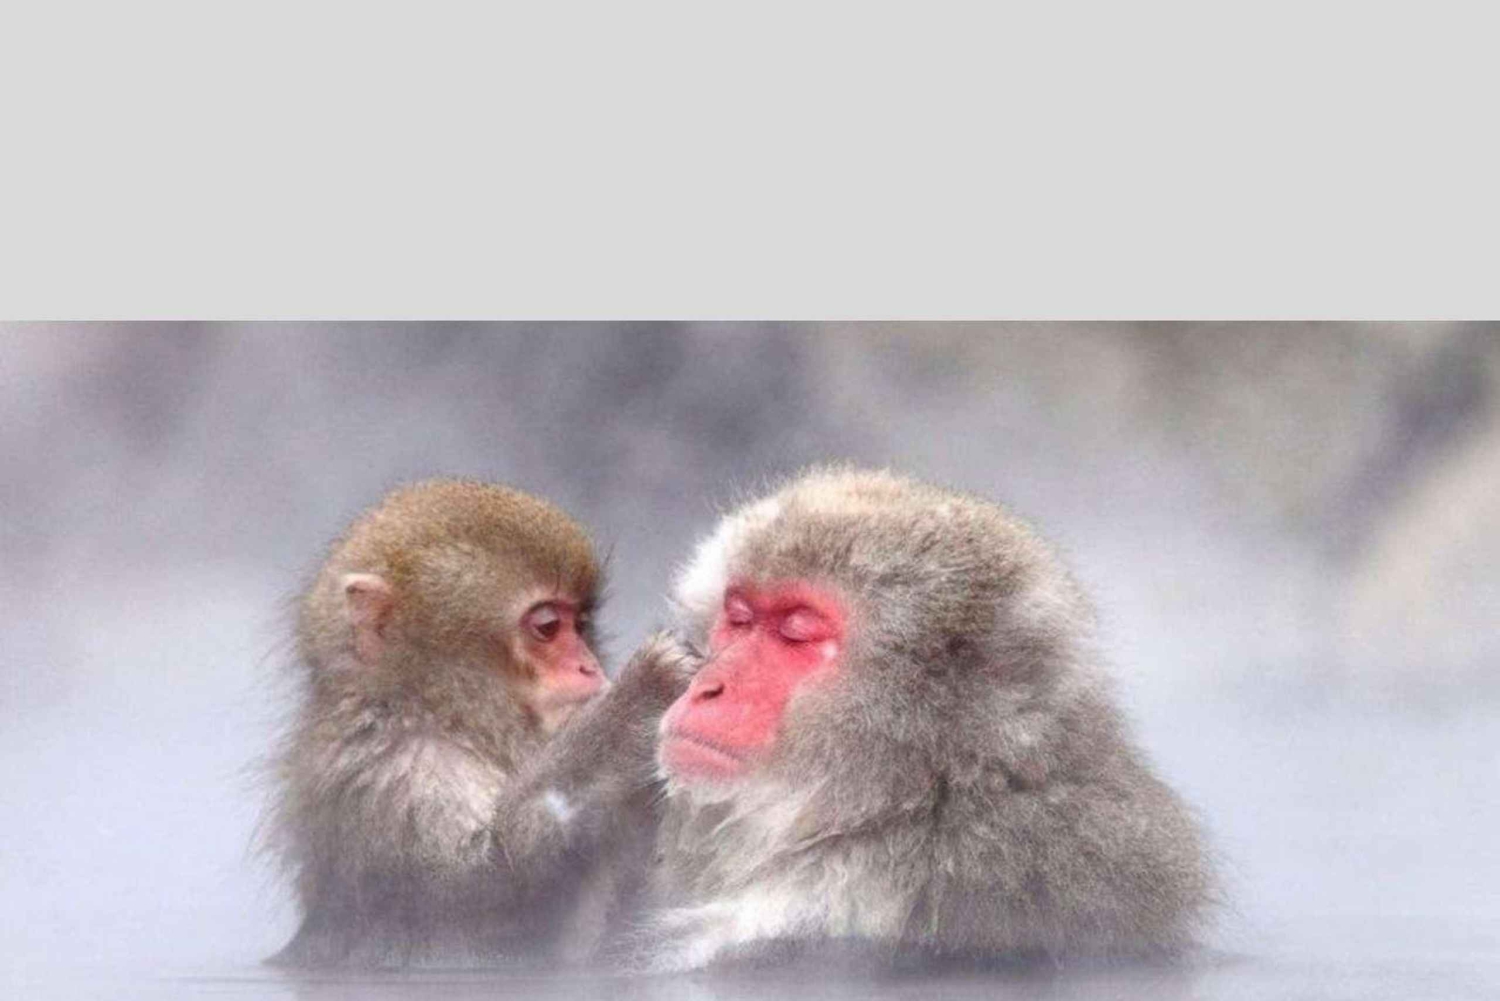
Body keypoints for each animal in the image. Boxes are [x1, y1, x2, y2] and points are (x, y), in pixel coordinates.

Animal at [263, 478, 617, 968]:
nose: (590, 667)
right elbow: (487, 899)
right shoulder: (399, 776)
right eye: (548, 625)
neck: (439, 717)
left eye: (580, 625)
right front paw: (630, 715)